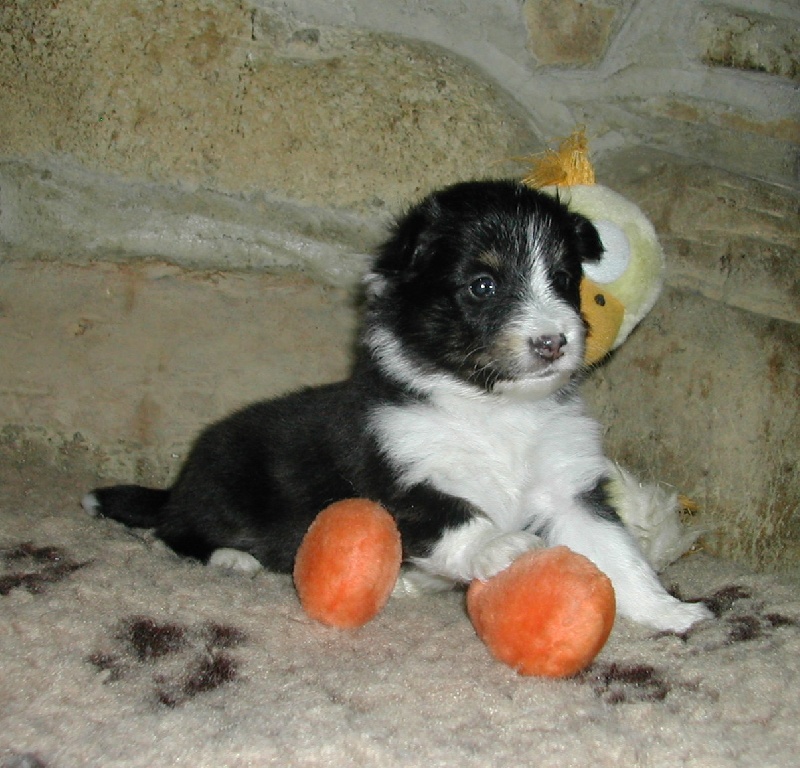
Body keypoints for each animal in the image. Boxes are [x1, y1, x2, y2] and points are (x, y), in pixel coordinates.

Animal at [86, 178, 712, 632]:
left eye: (563, 277)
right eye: (482, 286)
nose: (552, 342)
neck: (495, 408)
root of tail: (180, 479)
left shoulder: (570, 488)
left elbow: (619, 554)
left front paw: (672, 613)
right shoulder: (399, 479)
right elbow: (460, 516)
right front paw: (504, 545)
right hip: (222, 488)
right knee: (175, 531)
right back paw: (233, 560)